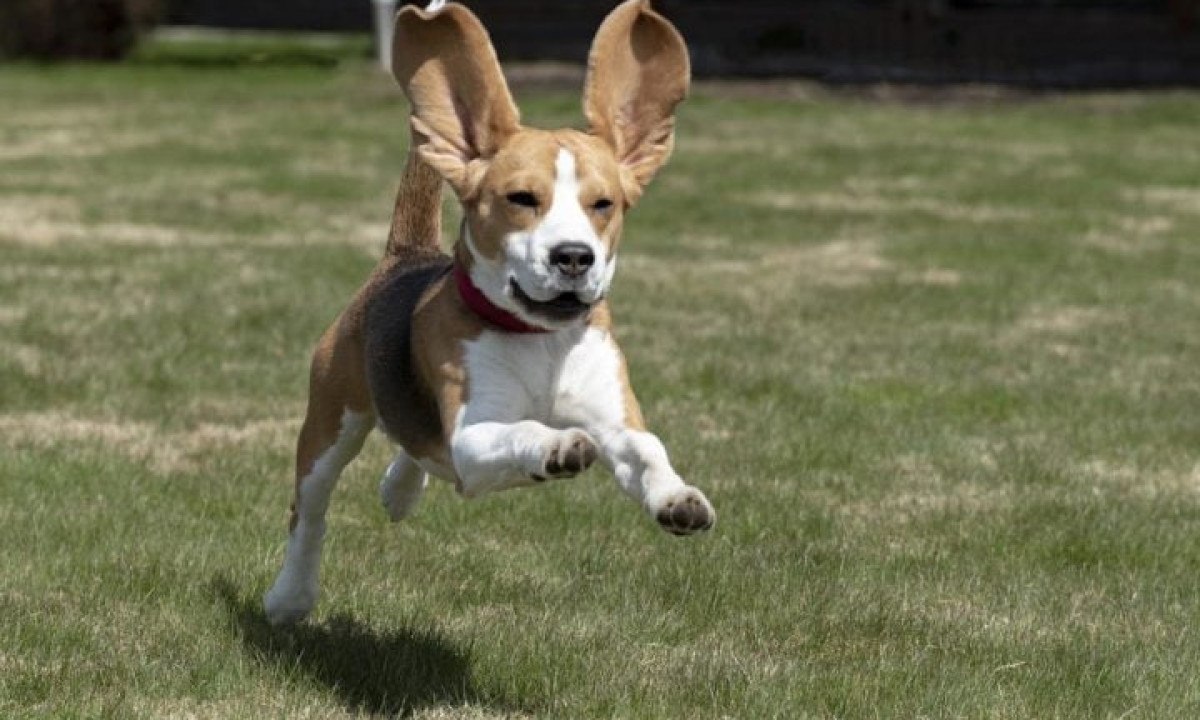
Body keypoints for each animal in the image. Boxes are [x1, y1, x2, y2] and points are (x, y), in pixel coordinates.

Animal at [264, 0, 710, 624]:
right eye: (521, 199)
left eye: (604, 204)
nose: (574, 256)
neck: (540, 339)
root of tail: (405, 255)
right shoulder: (475, 438)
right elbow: (520, 429)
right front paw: (556, 445)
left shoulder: (612, 416)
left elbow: (646, 449)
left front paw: (678, 499)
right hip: (331, 420)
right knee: (310, 512)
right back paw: (290, 597)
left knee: (418, 448)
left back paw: (399, 490)